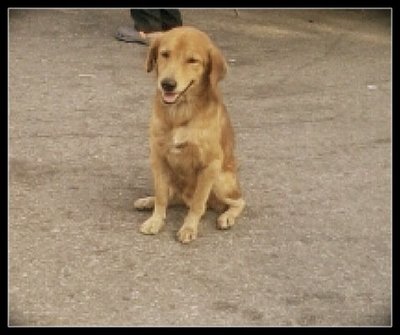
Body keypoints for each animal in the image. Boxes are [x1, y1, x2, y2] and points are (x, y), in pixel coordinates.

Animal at [135, 25, 244, 243]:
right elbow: (161, 195)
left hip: (220, 179)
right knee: (170, 196)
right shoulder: (158, 157)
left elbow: (198, 203)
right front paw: (155, 220)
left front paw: (189, 227)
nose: (167, 84)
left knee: (239, 200)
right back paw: (148, 201)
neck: (181, 111)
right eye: (165, 54)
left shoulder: (210, 164)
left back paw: (226, 217)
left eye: (192, 60)